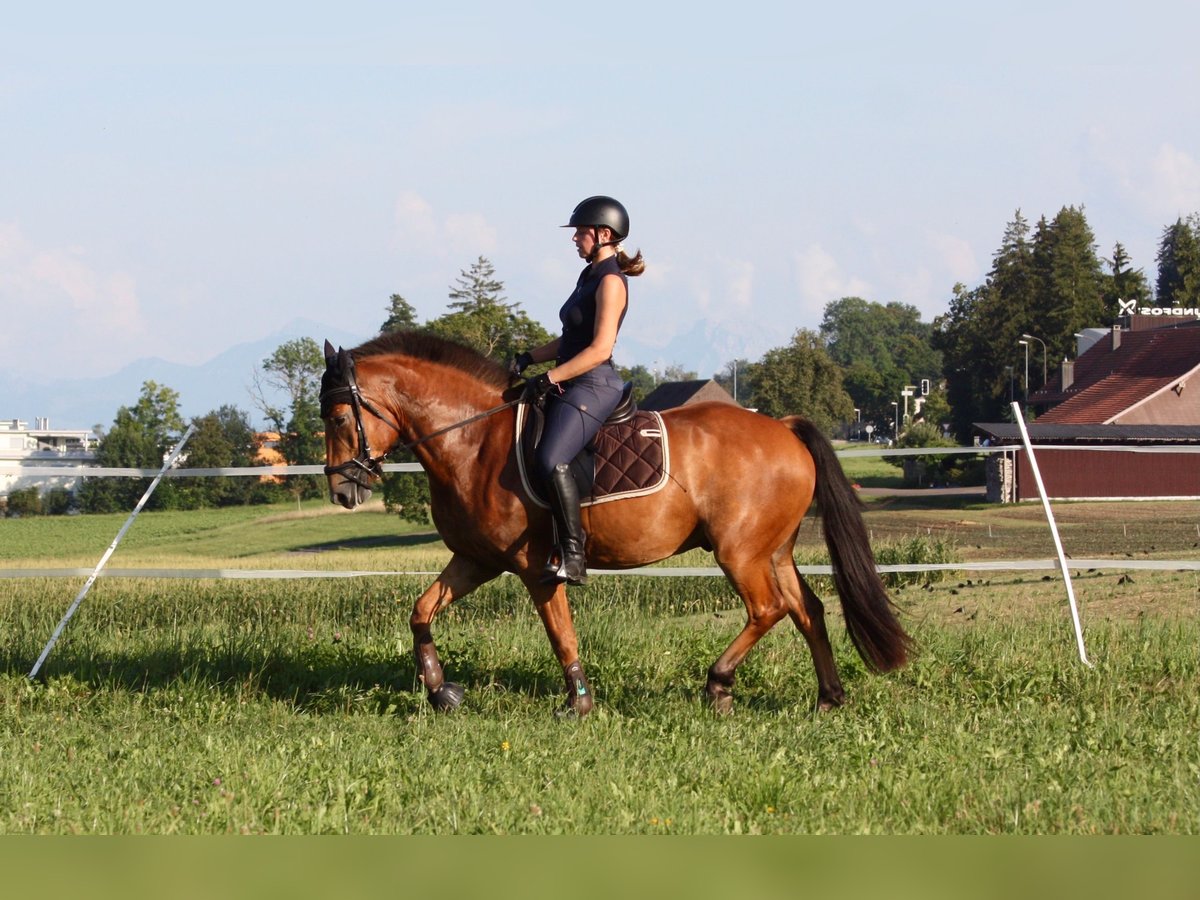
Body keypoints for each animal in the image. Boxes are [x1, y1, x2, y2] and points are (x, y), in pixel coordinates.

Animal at [319, 331, 907, 720]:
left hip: (739, 552)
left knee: (770, 609)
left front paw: (578, 704)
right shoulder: (477, 560)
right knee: (807, 611)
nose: (342, 491)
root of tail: (782, 427)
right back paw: (828, 698)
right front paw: (442, 691)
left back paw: (718, 685)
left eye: (338, 417)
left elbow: (562, 636)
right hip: (773, 550)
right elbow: (421, 612)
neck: (473, 440)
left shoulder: (535, 567)